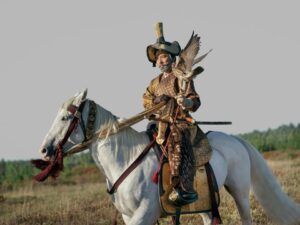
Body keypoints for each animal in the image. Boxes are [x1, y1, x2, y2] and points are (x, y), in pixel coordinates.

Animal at [39, 90, 300, 225]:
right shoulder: (128, 216)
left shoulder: (144, 214)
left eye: (65, 117)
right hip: (205, 202)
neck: (125, 160)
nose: (44, 150)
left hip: (240, 191)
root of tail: (235, 139)